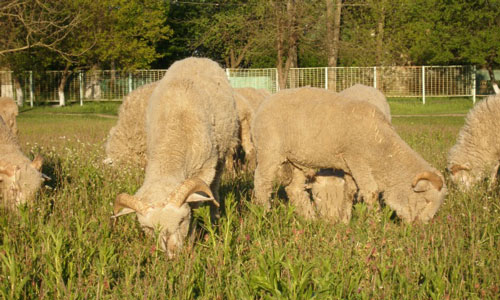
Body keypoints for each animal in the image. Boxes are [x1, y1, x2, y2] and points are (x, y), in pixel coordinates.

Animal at [112, 58, 239, 258]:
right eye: (149, 229)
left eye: (182, 220)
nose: (172, 255)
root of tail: (197, 58)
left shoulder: (204, 170)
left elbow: (197, 204)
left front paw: (193, 238)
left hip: (222, 152)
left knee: (215, 189)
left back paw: (214, 216)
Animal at [252, 86, 448, 223]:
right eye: (426, 200)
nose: (420, 226)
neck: (382, 147)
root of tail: (265, 102)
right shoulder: (357, 160)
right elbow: (370, 192)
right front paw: (376, 223)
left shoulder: (348, 166)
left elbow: (350, 192)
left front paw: (345, 220)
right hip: (269, 151)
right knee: (262, 182)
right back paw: (264, 213)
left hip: (298, 159)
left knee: (294, 189)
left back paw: (310, 219)